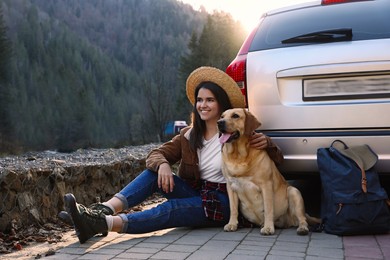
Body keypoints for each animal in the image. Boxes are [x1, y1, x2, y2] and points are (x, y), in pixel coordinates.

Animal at [218, 107, 318, 236]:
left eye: (235, 115)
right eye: (222, 116)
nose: (219, 123)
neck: (238, 156)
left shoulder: (266, 185)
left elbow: (268, 208)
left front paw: (268, 227)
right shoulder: (230, 186)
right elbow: (233, 208)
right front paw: (232, 224)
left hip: (293, 192)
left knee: (302, 218)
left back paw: (302, 228)